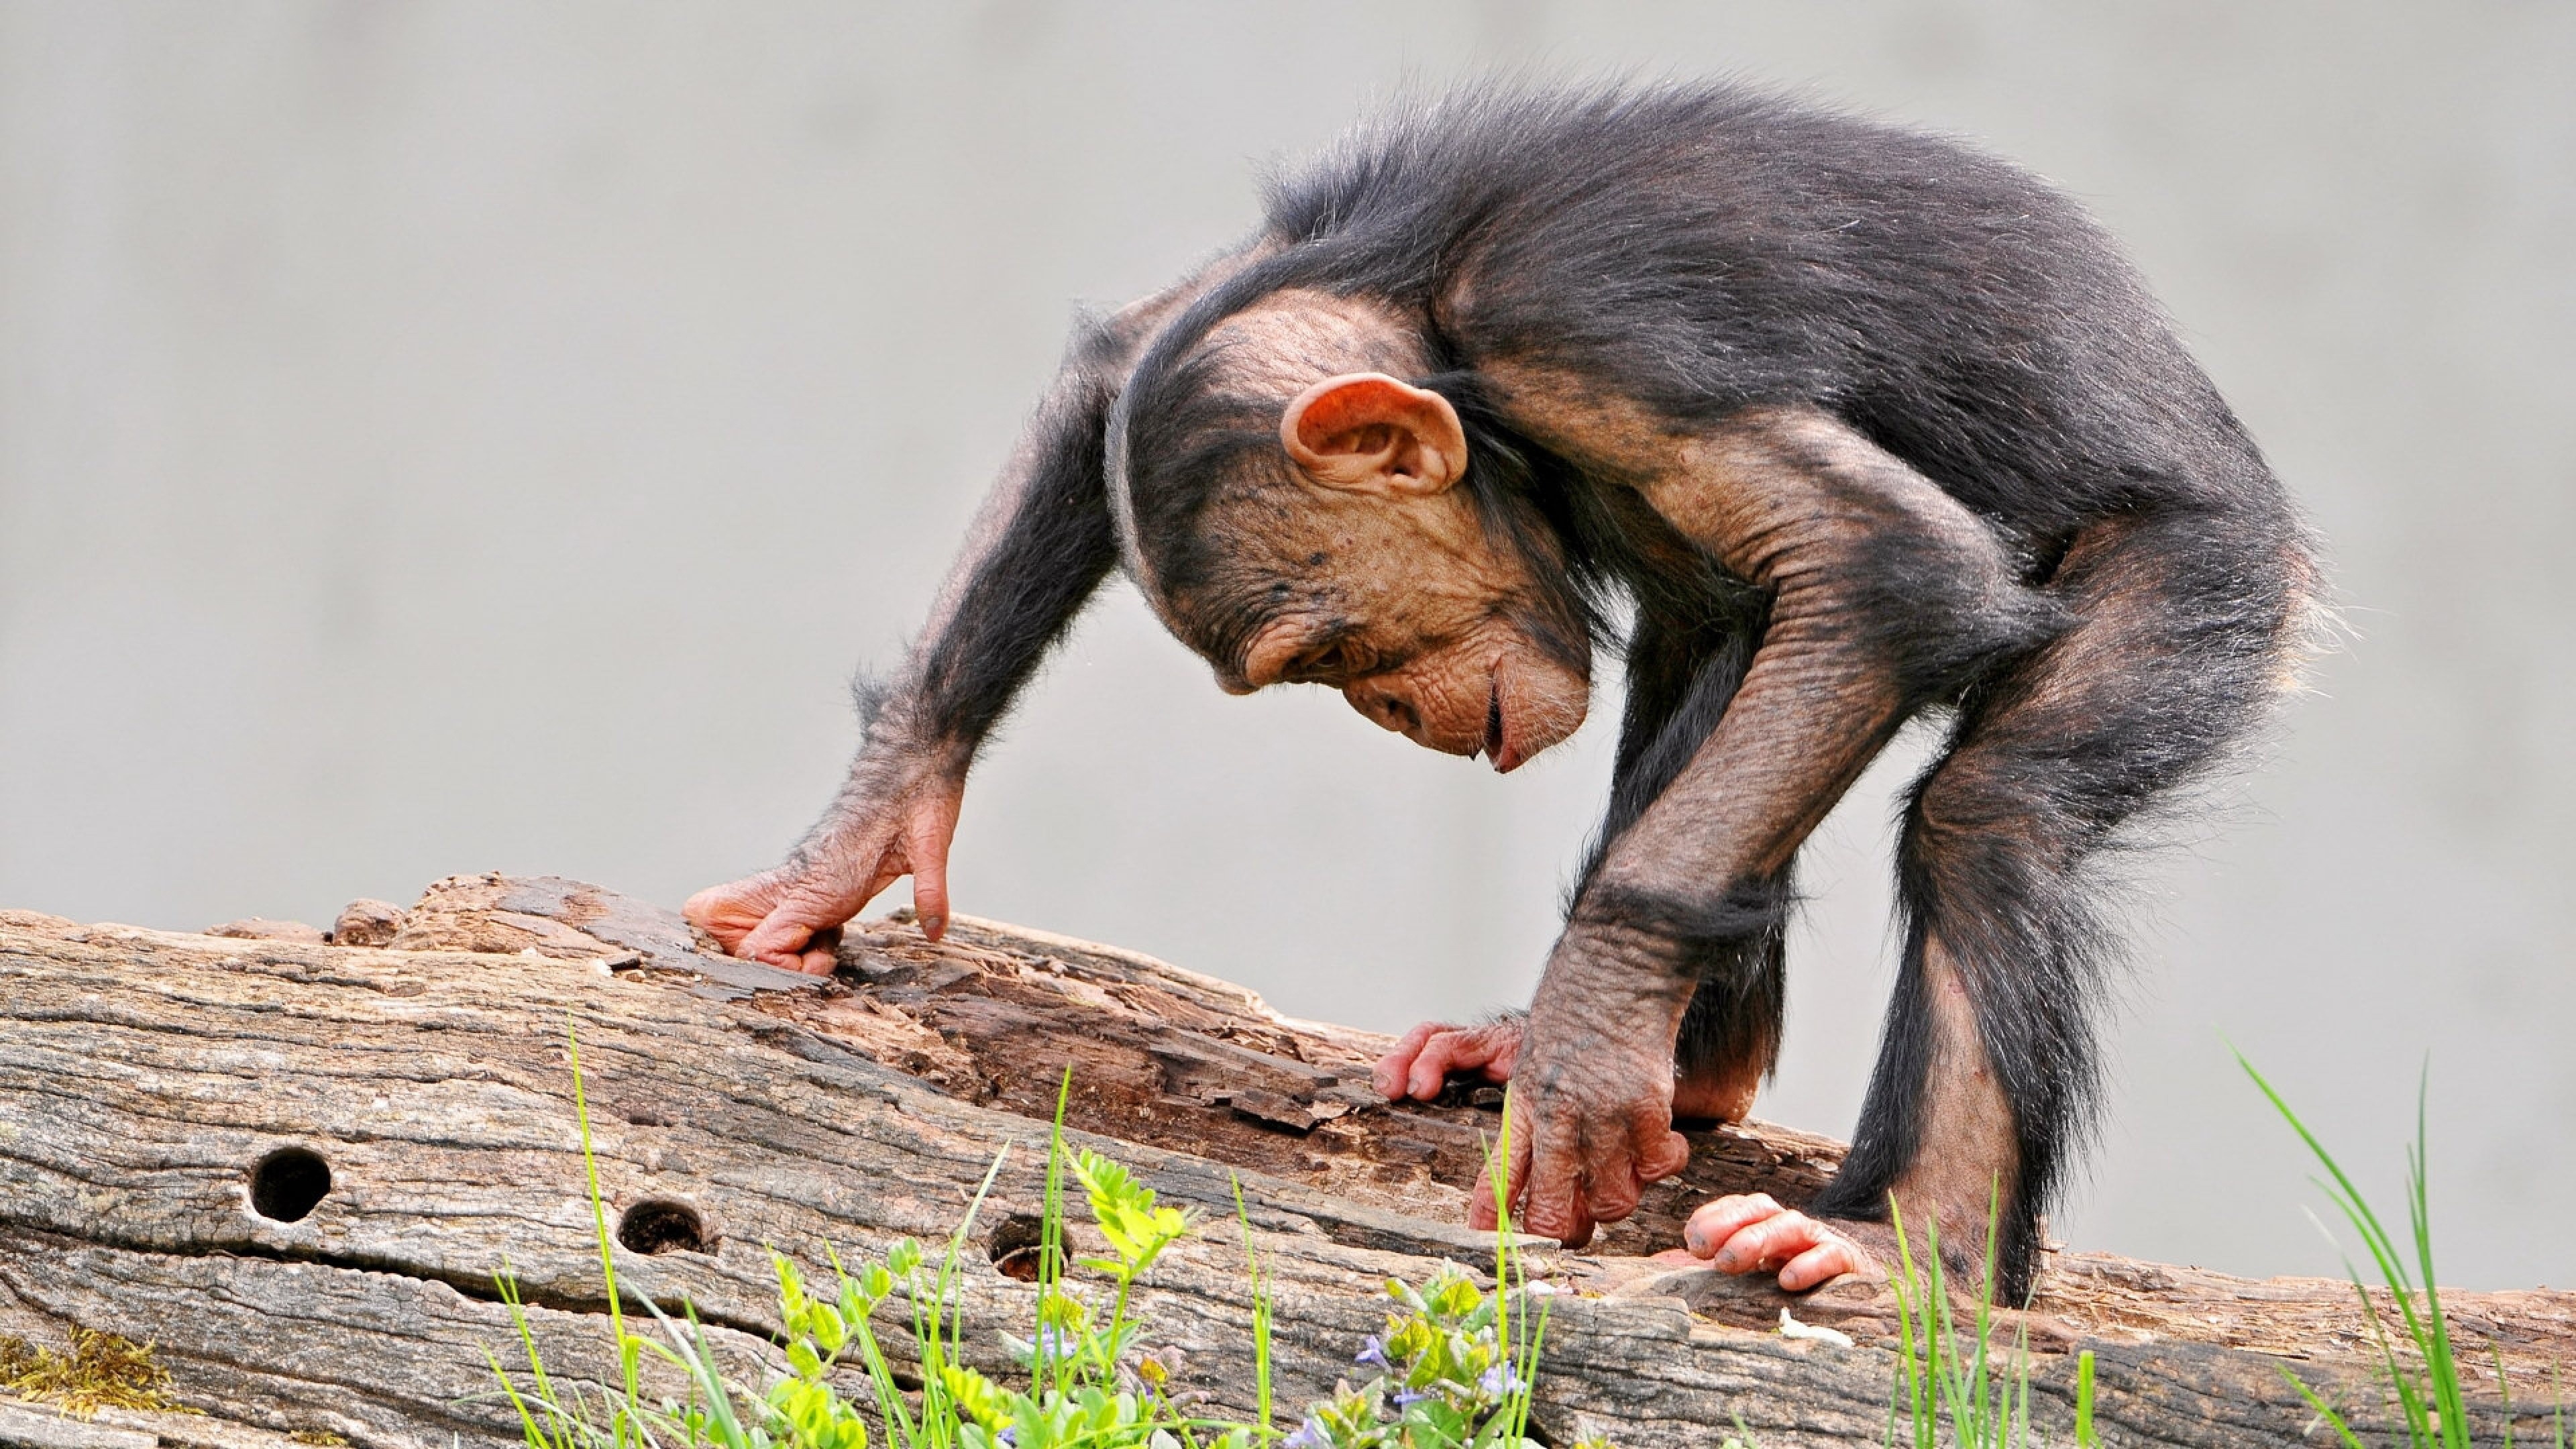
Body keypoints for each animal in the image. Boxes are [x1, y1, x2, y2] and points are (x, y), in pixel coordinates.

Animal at [685, 82, 2318, 1299]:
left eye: (1326, 652)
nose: (1390, 711)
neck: (1441, 323)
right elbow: (1118, 360)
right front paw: (858, 833)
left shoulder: (1587, 344)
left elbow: (1885, 566)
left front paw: (1585, 1047)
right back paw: (1692, 1067)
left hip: (2209, 570)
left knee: (1989, 820)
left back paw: (1906, 1246)